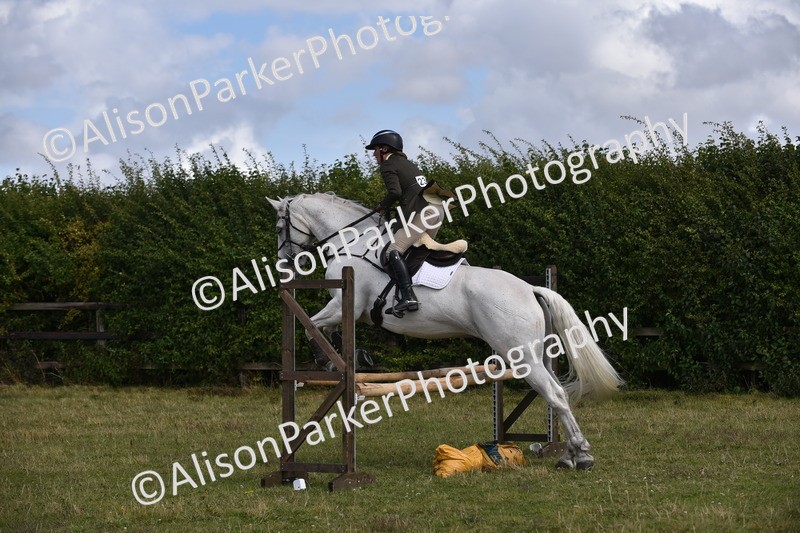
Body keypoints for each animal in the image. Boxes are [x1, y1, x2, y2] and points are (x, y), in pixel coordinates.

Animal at [268, 192, 623, 470]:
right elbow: (325, 329)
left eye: (279, 227)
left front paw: (326, 360)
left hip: (522, 356)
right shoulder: (349, 310)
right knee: (556, 393)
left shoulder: (346, 304)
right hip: (533, 355)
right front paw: (350, 356)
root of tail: (531, 288)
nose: (286, 262)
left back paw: (582, 455)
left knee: (555, 394)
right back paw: (569, 455)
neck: (354, 243)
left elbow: (314, 325)